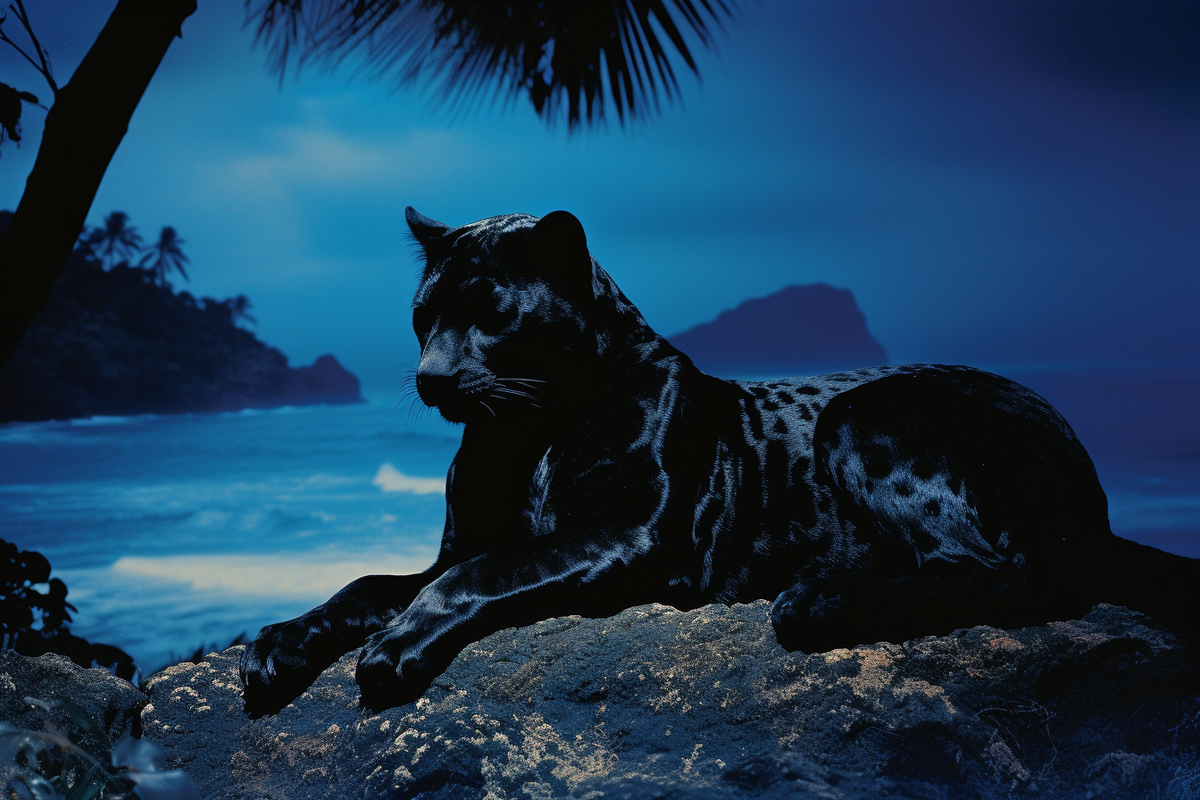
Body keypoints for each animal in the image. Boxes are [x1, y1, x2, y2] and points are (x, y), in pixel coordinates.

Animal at [239, 207, 1197, 716]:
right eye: (421, 314)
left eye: (492, 312)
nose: (432, 376)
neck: (531, 431)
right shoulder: (461, 543)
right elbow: (367, 582)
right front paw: (276, 646)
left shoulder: (631, 533)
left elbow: (483, 574)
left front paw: (394, 649)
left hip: (862, 414)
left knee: (1010, 572)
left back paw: (817, 599)